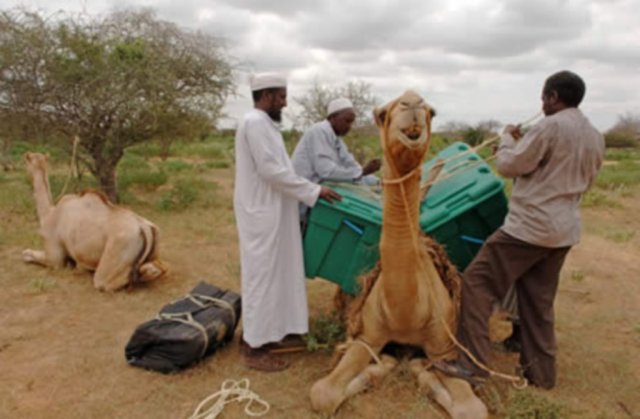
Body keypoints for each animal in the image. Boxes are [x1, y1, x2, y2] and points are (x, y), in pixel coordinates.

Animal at [22, 152, 168, 291]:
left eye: (27, 160)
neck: (48, 213)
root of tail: (144, 228)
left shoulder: (54, 257)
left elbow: (27, 254)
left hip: (113, 259)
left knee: (107, 281)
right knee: (159, 268)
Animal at [310, 91, 488, 418]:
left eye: (432, 111)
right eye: (381, 113)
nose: (412, 102)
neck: (406, 311)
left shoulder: (444, 346)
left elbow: (471, 409)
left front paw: (420, 369)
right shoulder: (368, 336)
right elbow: (323, 393)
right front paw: (385, 365)